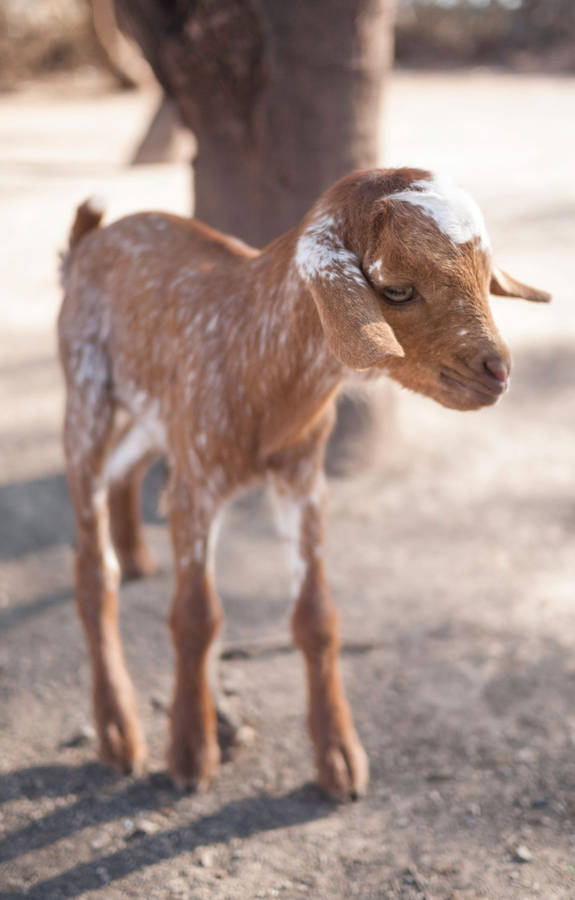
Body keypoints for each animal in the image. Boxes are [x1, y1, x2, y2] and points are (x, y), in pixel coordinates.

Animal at [58, 167, 549, 800]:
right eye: (397, 290)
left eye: (487, 278)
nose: (497, 372)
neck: (256, 350)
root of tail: (92, 240)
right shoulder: (197, 484)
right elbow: (196, 616)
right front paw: (191, 754)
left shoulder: (303, 479)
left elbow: (317, 616)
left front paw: (339, 758)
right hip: (85, 389)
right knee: (94, 570)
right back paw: (118, 731)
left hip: (153, 410)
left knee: (126, 468)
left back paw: (138, 557)